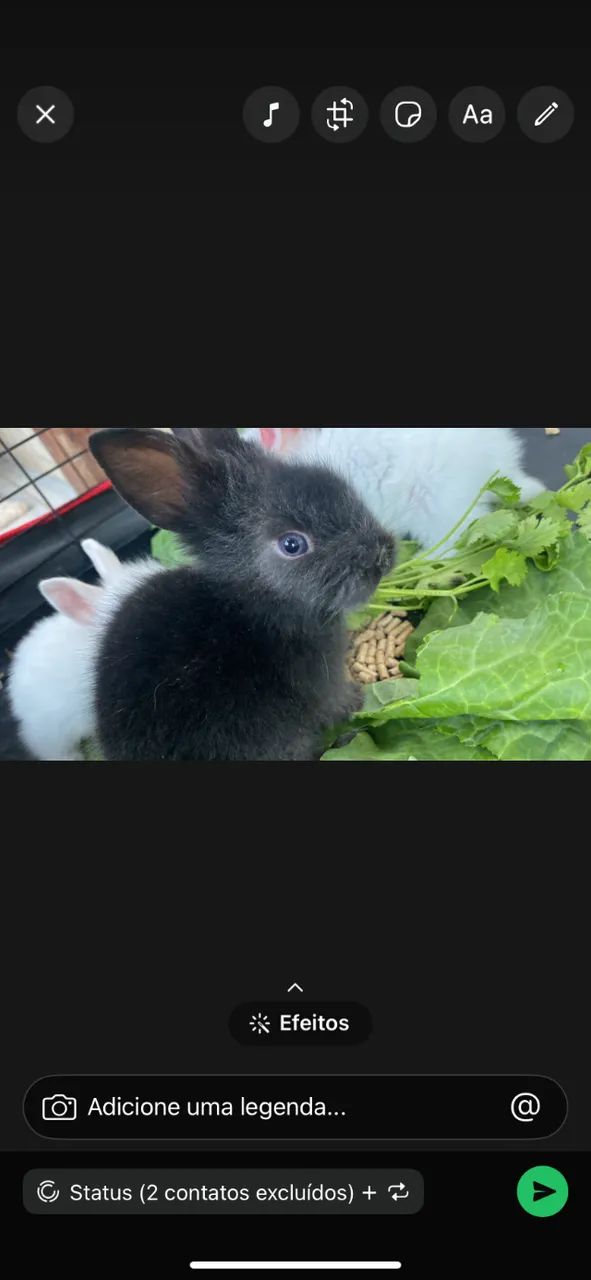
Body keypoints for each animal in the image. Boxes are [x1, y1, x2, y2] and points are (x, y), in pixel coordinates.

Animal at [88, 426, 396, 761]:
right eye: (292, 544)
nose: (383, 555)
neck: (252, 605)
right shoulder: (324, 684)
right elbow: (334, 703)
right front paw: (356, 700)